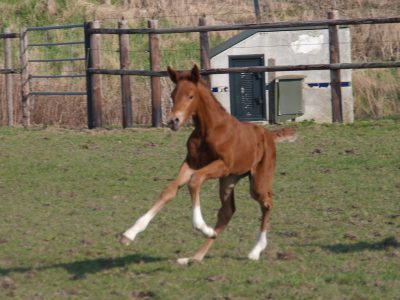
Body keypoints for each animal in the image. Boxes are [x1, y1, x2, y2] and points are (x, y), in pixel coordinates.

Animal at [120, 64, 296, 264]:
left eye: (191, 96)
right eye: (172, 95)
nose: (173, 121)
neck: (208, 130)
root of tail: (268, 135)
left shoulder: (222, 165)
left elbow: (195, 181)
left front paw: (201, 227)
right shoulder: (191, 163)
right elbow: (170, 190)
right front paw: (130, 233)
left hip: (256, 180)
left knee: (266, 203)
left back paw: (255, 251)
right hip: (229, 180)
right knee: (227, 211)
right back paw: (196, 256)